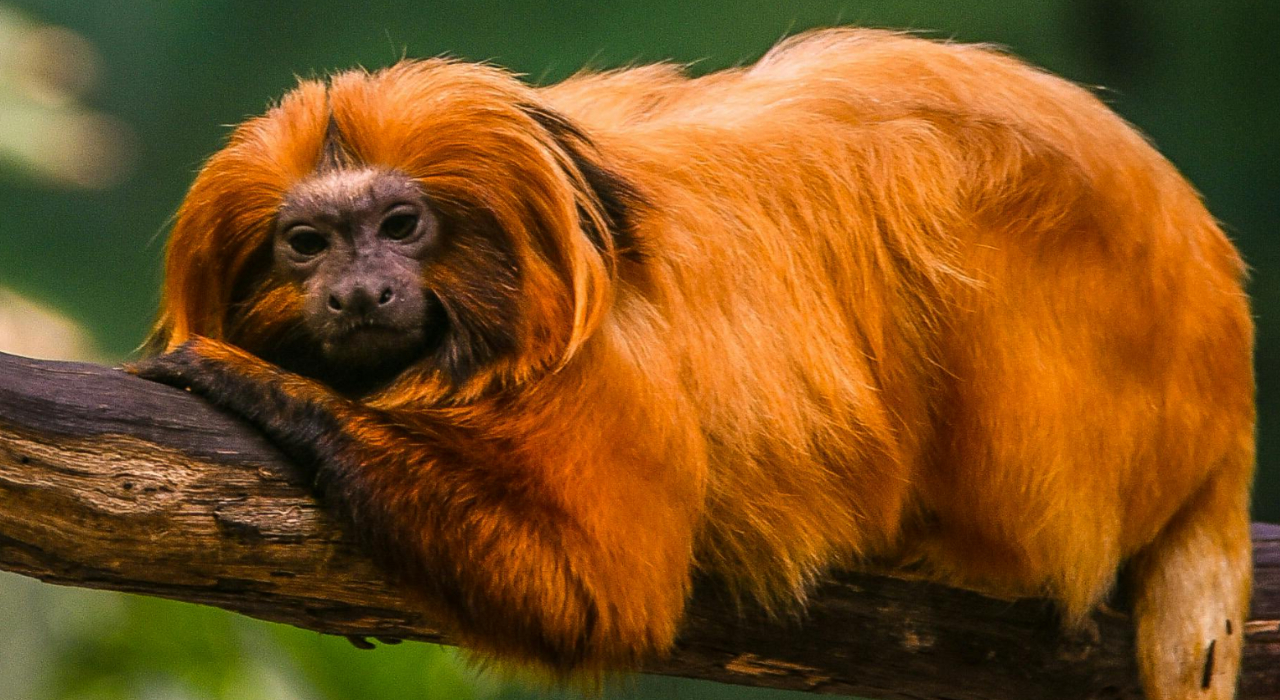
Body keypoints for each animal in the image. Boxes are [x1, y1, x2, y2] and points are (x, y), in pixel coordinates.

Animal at [131, 28, 1254, 699]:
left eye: (400, 226)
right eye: (307, 244)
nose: (360, 291)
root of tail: (1223, 371)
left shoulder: (609, 364)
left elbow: (601, 591)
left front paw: (254, 382)